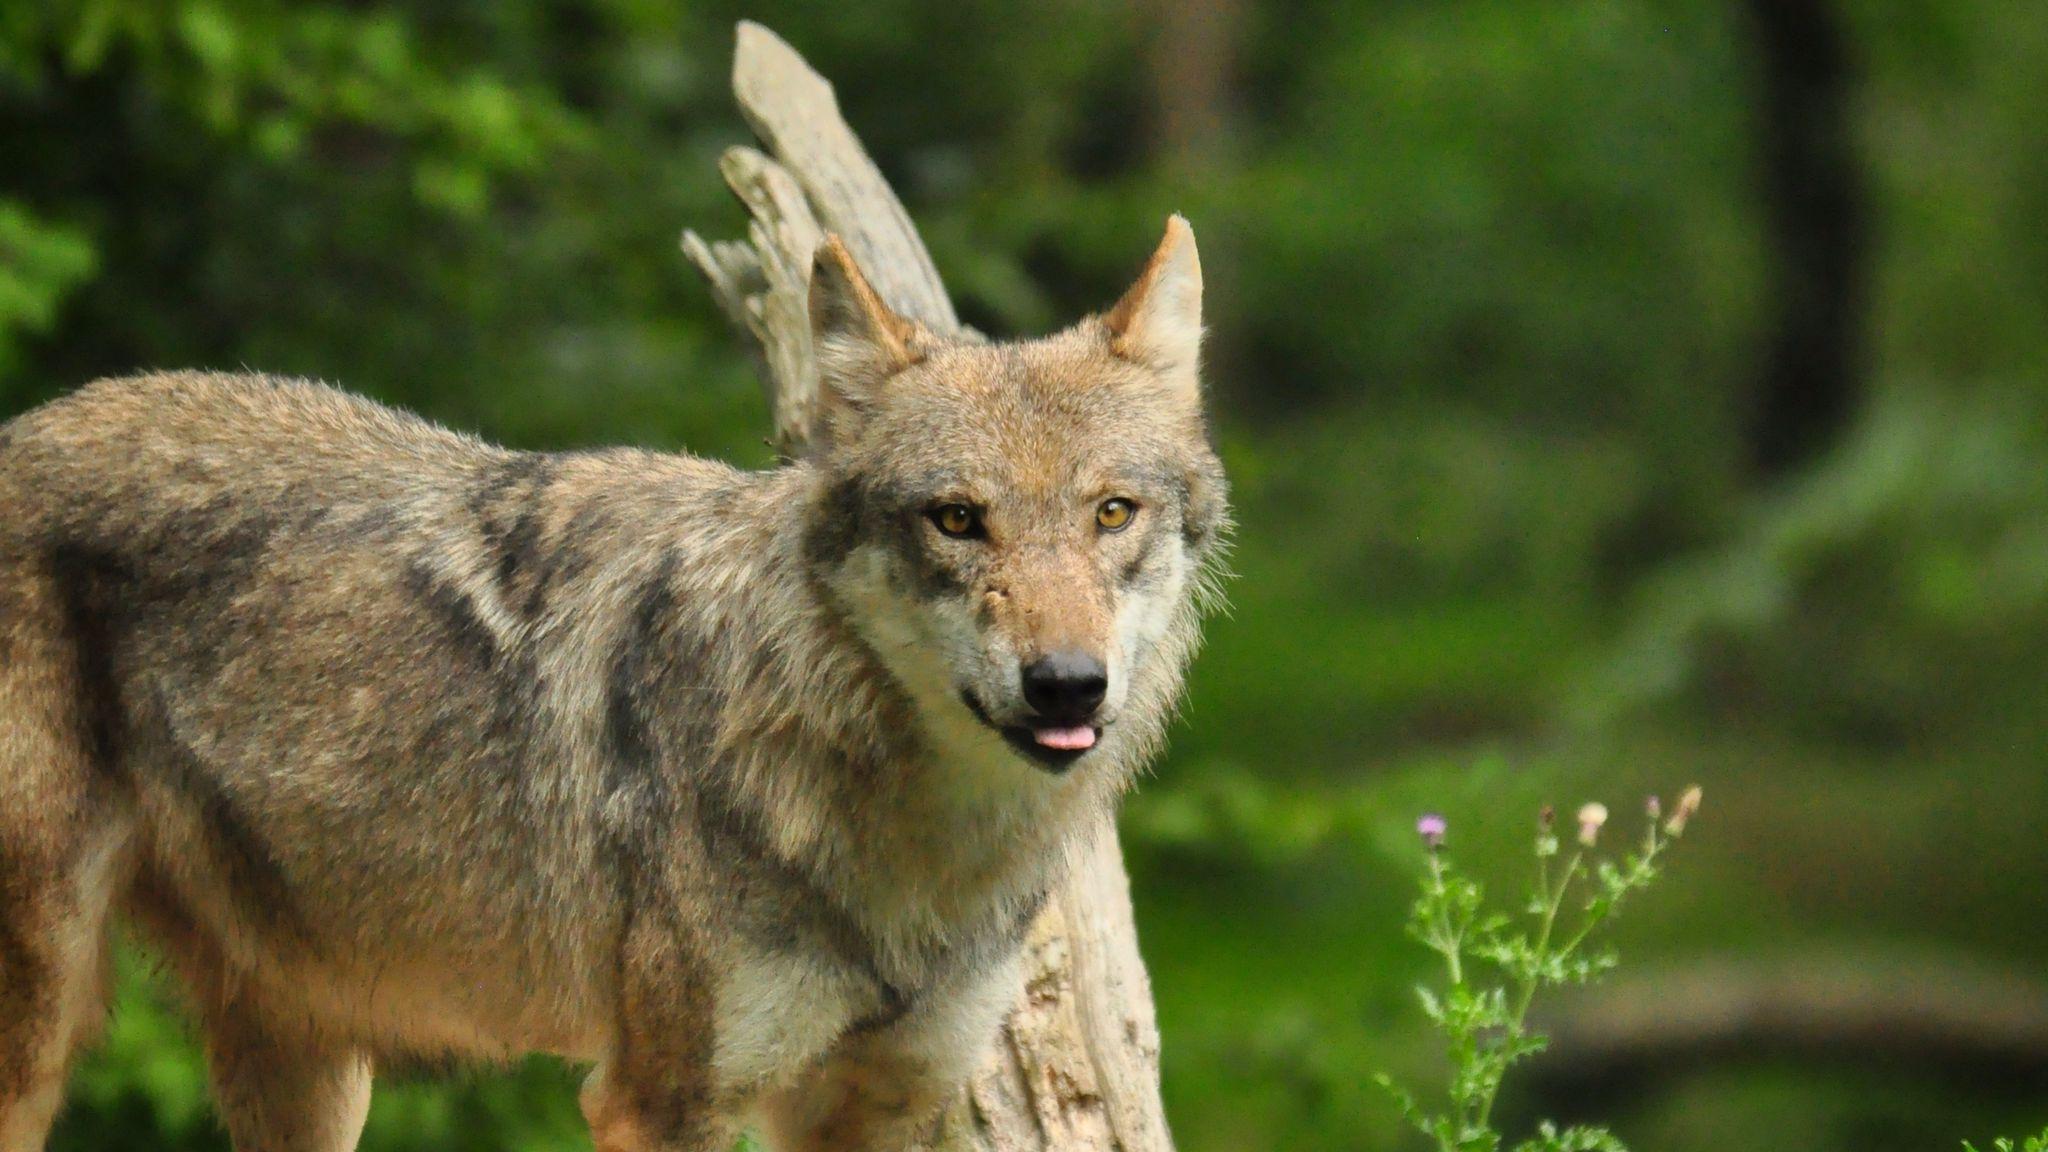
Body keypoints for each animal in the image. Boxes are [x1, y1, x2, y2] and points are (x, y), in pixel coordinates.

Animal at [0, 217, 1226, 1151]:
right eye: (958, 520)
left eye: (1112, 512)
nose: (1065, 685)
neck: (915, 850)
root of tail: (29, 424)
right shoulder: (661, 1102)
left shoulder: (882, 1102)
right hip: (43, 1024)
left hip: (309, 1057)